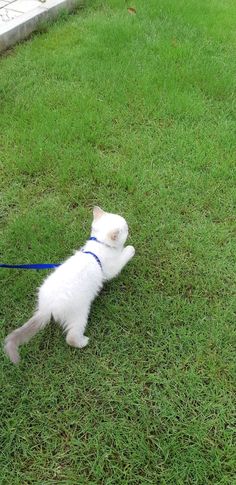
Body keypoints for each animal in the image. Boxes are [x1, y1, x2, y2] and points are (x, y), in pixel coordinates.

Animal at [4, 207, 135, 364]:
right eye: (125, 228)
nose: (130, 226)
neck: (98, 245)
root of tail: (46, 308)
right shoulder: (111, 269)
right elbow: (124, 257)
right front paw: (130, 249)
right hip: (79, 315)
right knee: (71, 337)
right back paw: (84, 342)